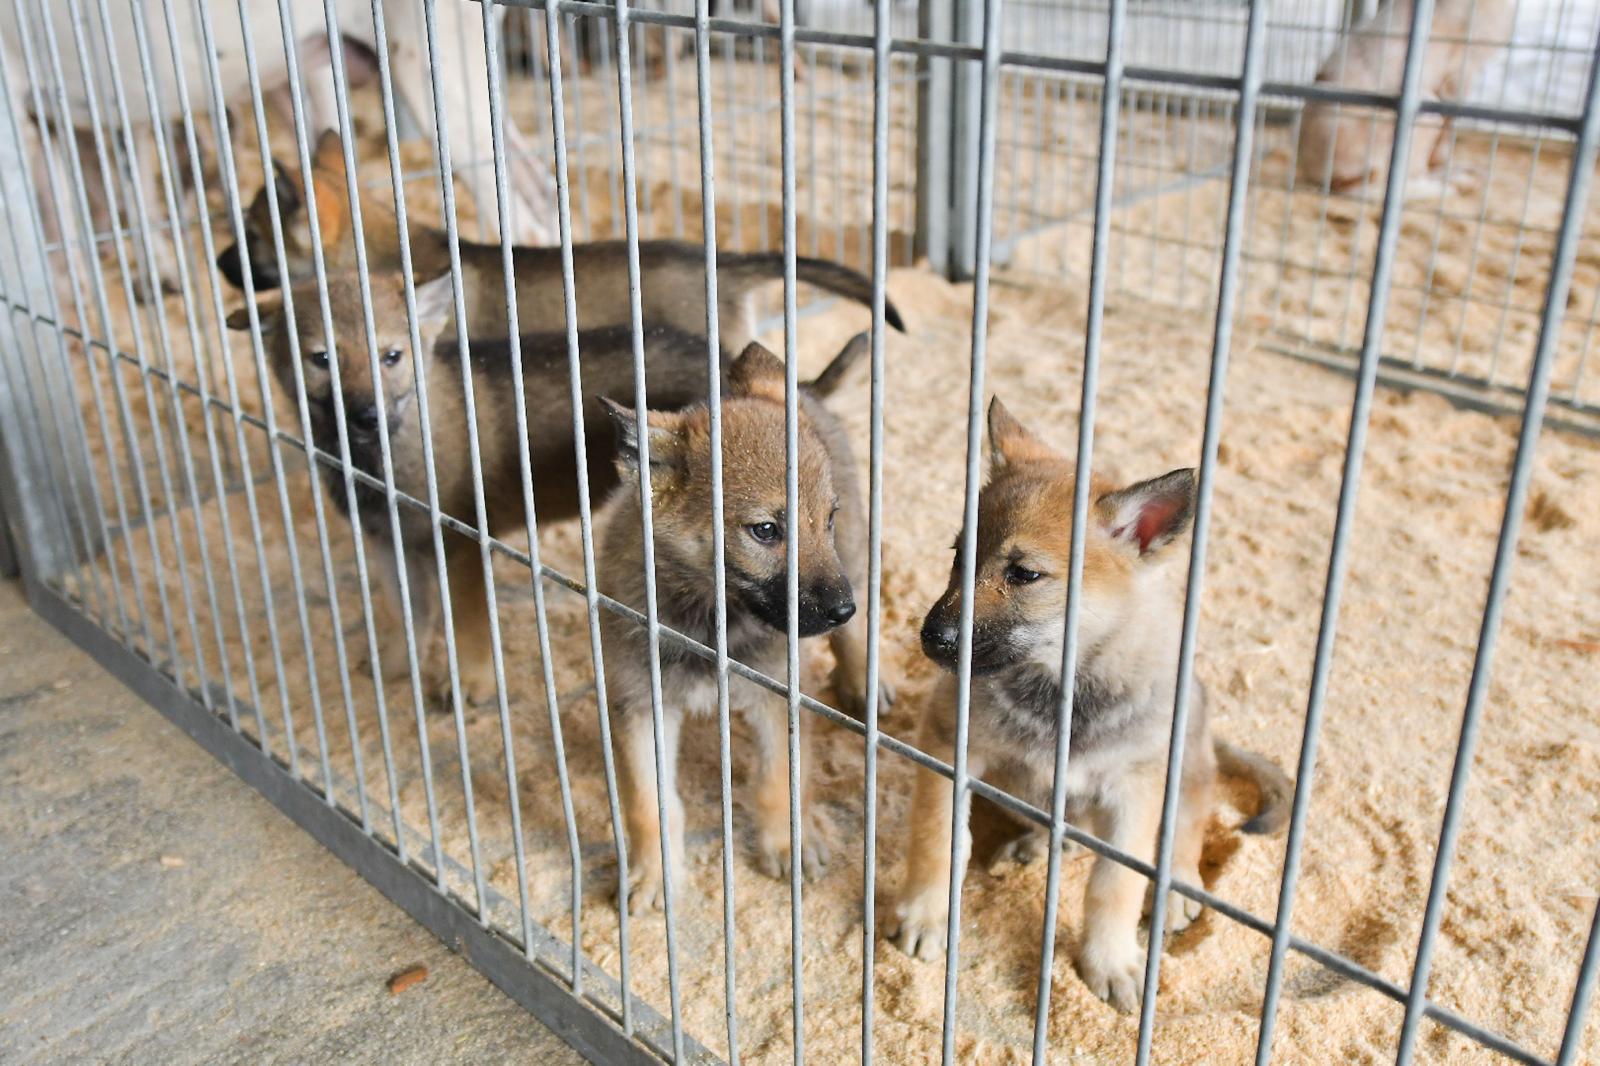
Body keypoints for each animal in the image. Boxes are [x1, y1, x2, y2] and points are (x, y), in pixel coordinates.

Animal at [601, 340, 883, 915]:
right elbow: (648, 803)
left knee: (857, 639)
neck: (711, 619)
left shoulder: (777, 697)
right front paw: (653, 873)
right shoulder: (639, 707)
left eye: (826, 519)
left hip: (857, 561)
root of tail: (806, 388)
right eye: (767, 531)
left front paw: (788, 844)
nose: (841, 609)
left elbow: (778, 780)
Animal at [883, 396, 1292, 1005]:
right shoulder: (947, 749)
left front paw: (1110, 960)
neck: (1058, 687)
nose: (932, 638)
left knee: (1187, 829)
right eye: (959, 555)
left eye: (1025, 574)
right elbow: (939, 840)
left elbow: (1114, 884)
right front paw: (925, 915)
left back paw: (1175, 890)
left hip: (1184, 766)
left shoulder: (1134, 794)